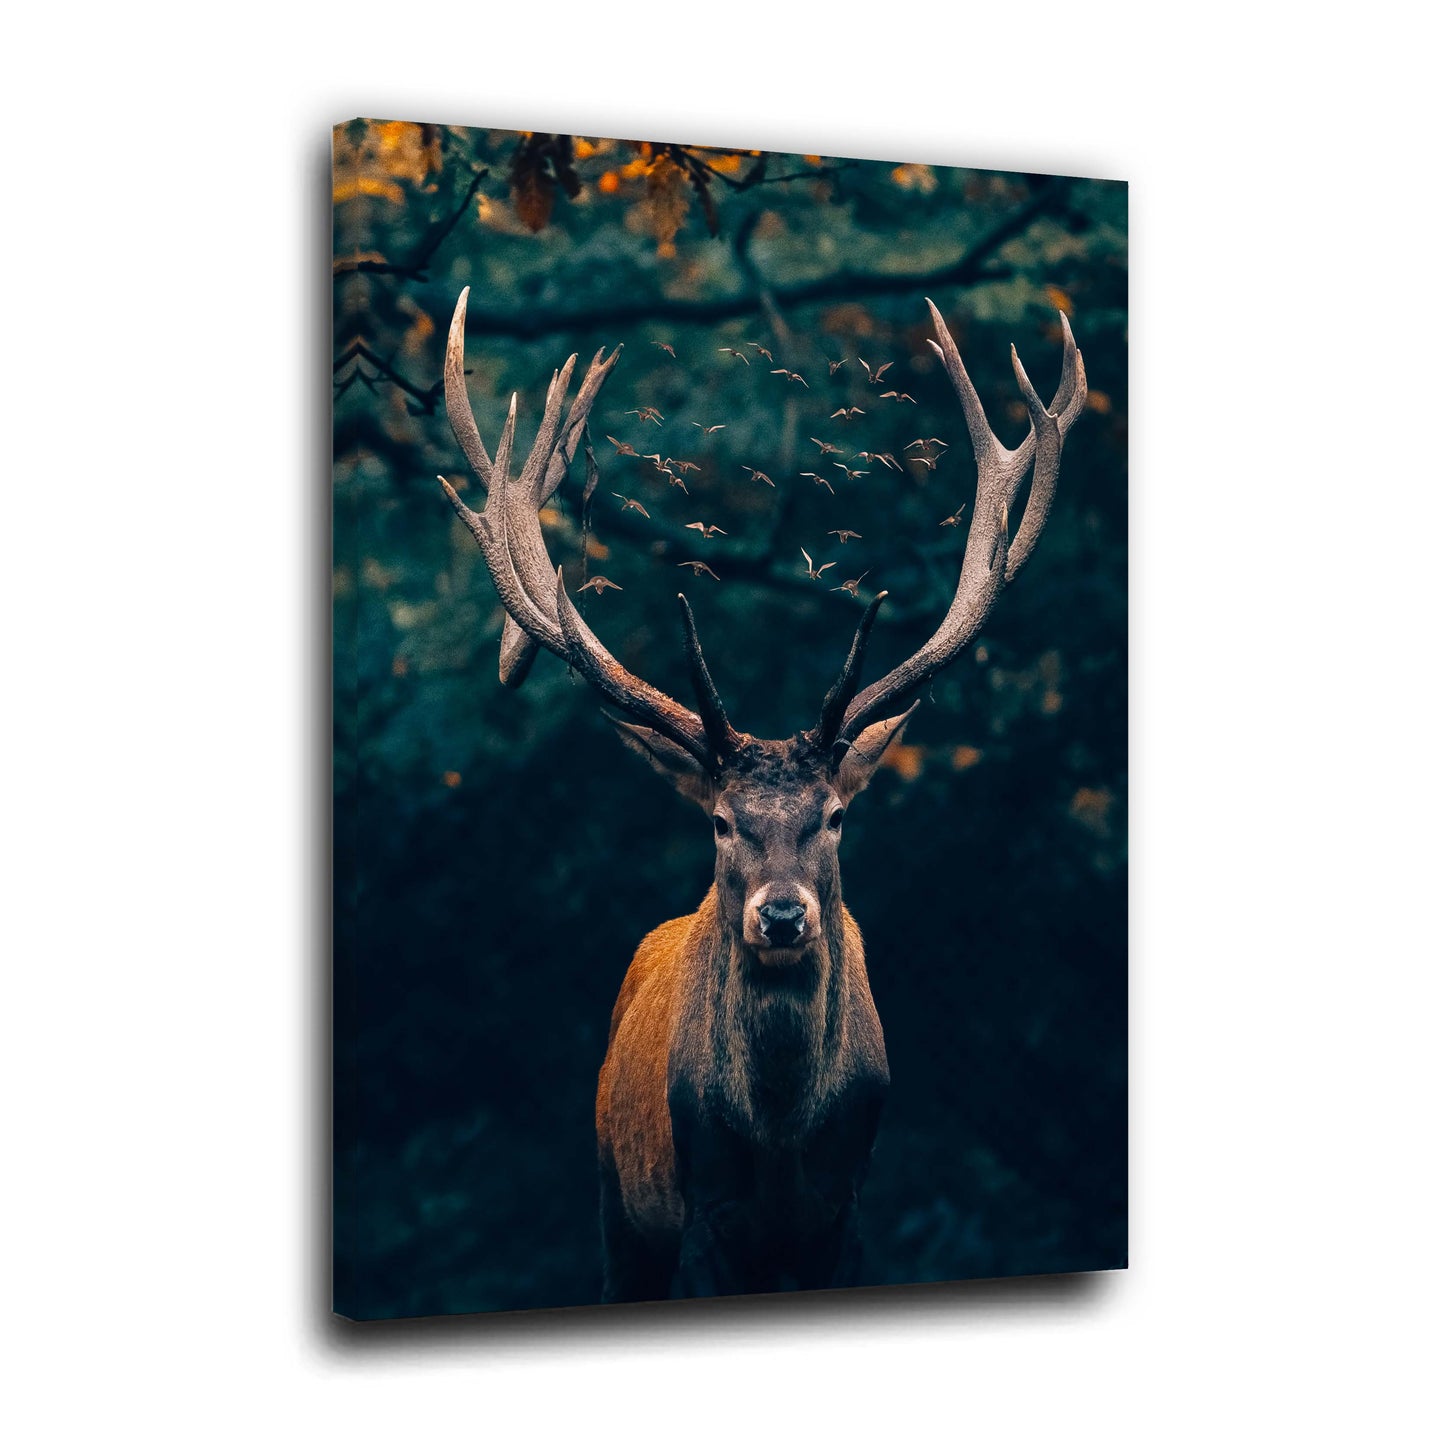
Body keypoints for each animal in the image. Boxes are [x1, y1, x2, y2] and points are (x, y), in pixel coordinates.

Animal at [437, 286, 1086, 1302]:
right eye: (717, 820)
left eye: (836, 815)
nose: (781, 916)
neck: (781, 1146)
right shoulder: (700, 1209)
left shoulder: (848, 1207)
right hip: (617, 1195)